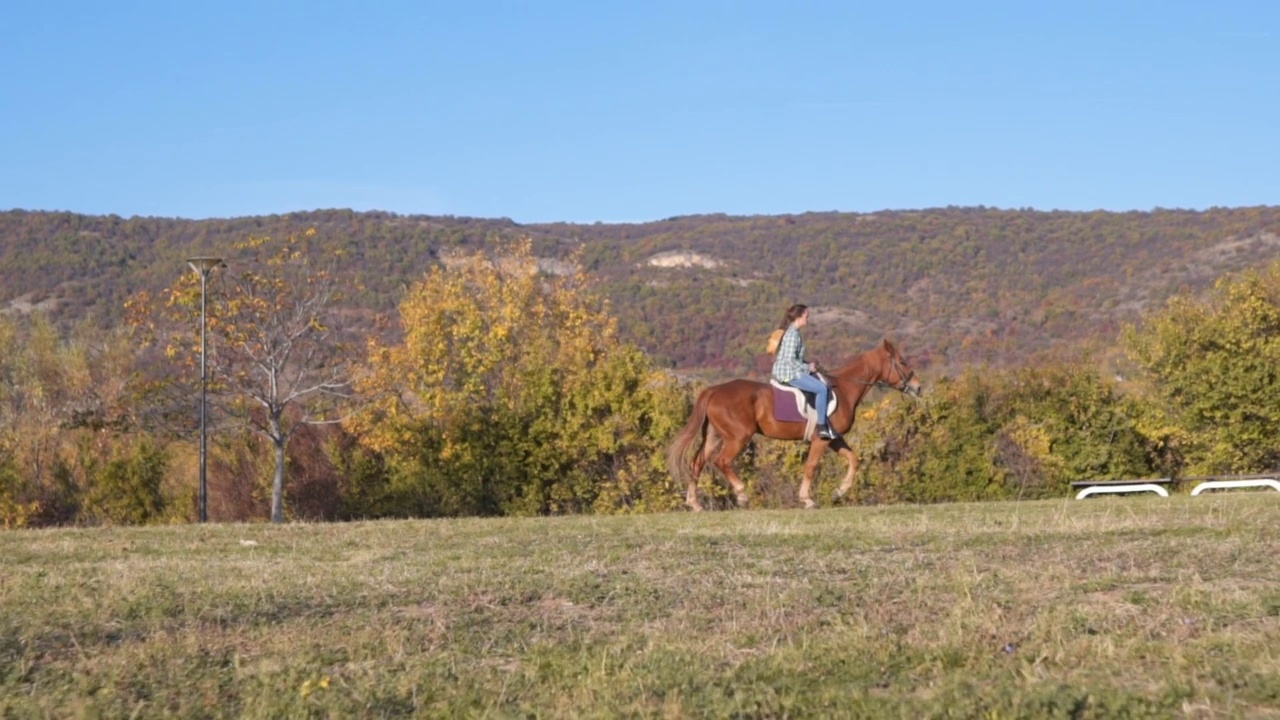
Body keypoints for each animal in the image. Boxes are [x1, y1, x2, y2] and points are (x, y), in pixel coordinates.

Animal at [670, 338, 921, 507]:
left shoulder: (834, 438)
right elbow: (811, 466)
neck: (845, 389)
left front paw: (839, 492)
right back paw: (741, 494)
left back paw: (694, 503)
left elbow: (853, 459)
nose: (917, 387)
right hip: (738, 437)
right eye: (902, 362)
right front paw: (807, 499)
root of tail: (712, 390)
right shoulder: (822, 439)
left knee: (697, 463)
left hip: (714, 436)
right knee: (721, 461)